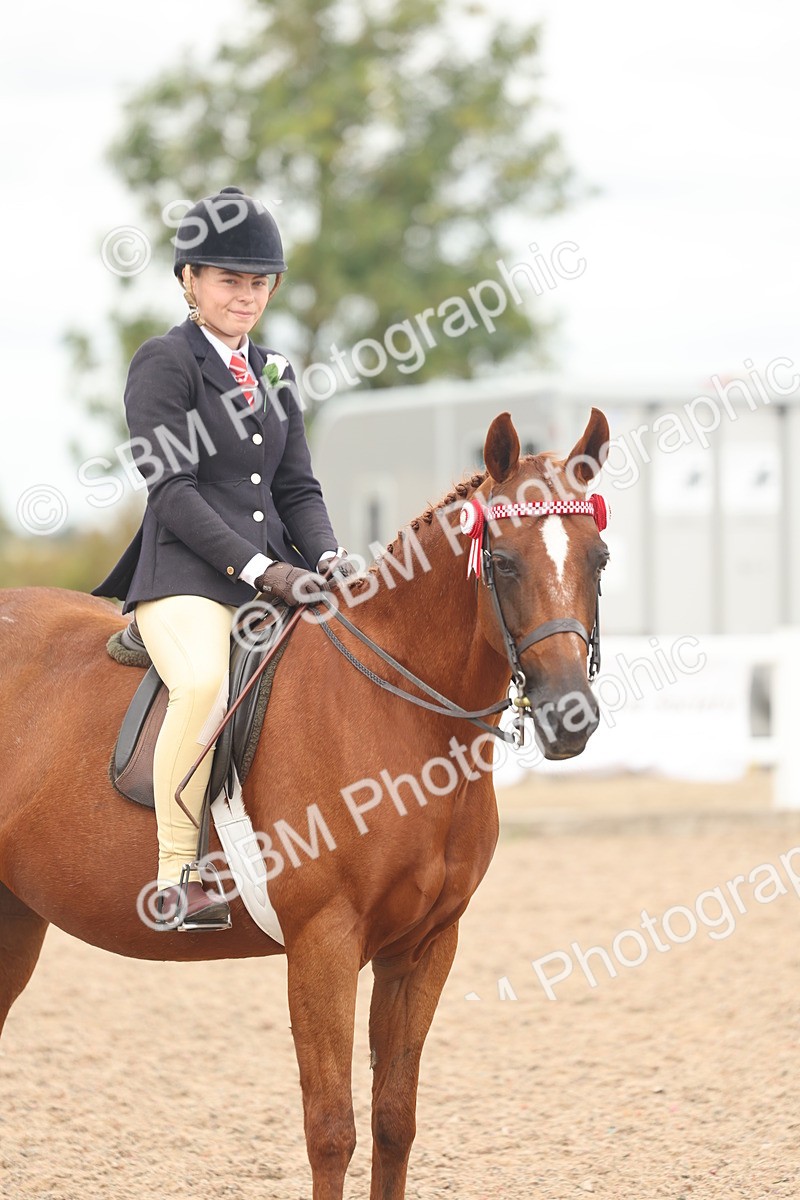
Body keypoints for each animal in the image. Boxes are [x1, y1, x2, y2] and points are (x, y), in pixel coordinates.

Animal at [0, 408, 609, 1200]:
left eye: (599, 559)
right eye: (502, 563)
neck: (401, 711)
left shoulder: (425, 947)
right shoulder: (324, 943)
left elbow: (394, 1120)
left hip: (15, 917)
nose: (571, 717)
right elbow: (331, 1128)